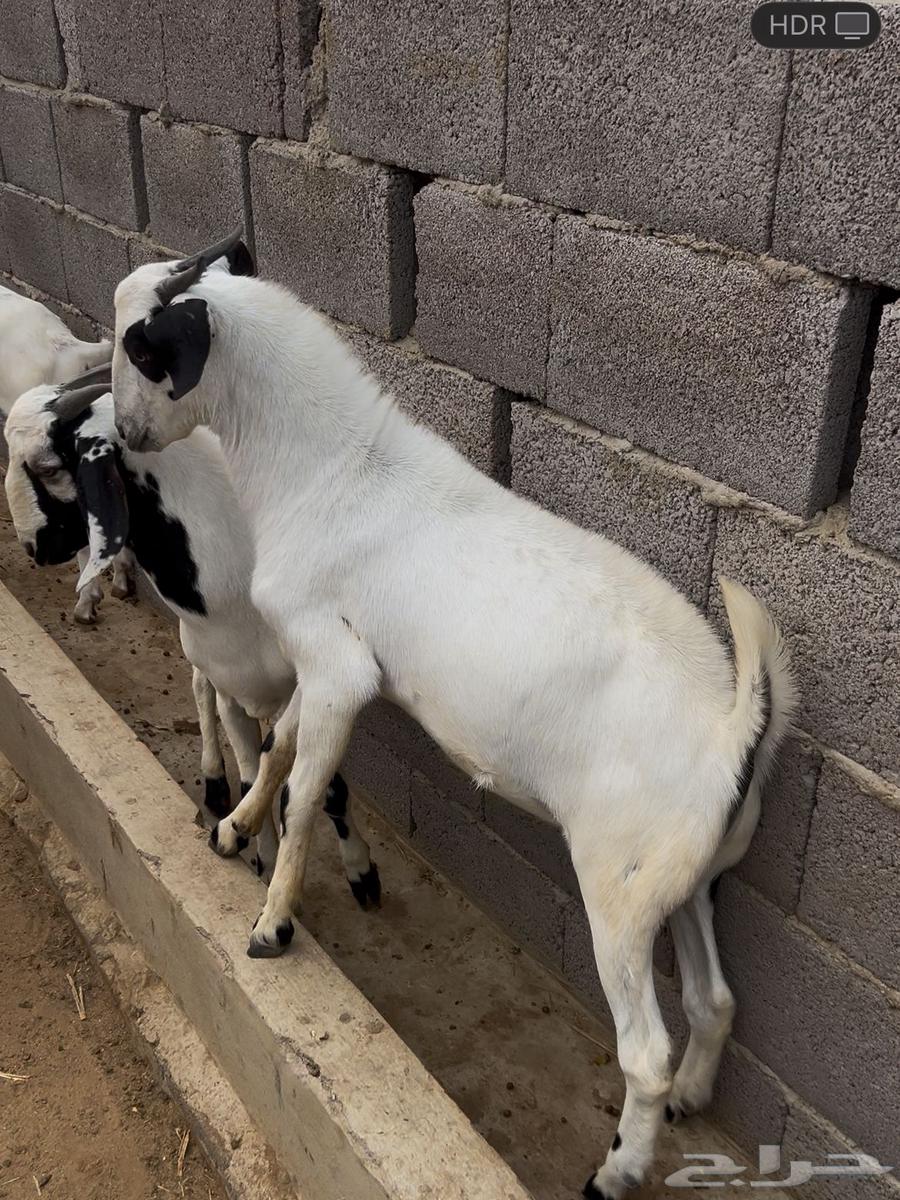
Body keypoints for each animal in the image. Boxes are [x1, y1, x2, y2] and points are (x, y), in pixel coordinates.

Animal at [3, 364, 380, 906]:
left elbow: (320, 781)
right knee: (200, 690)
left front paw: (359, 870)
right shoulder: (233, 691)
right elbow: (251, 769)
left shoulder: (307, 679)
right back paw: (214, 781)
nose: (34, 547)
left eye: (50, 465)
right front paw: (259, 856)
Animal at [111, 231, 795, 1199]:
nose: (123, 434)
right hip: (685, 879)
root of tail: (734, 729)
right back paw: (694, 1098)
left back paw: (616, 1170)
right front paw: (234, 826)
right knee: (715, 1000)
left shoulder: (340, 670)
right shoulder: (323, 664)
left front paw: (273, 926)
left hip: (618, 887)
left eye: (140, 348)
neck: (328, 469)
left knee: (645, 1052)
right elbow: (279, 750)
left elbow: (306, 791)